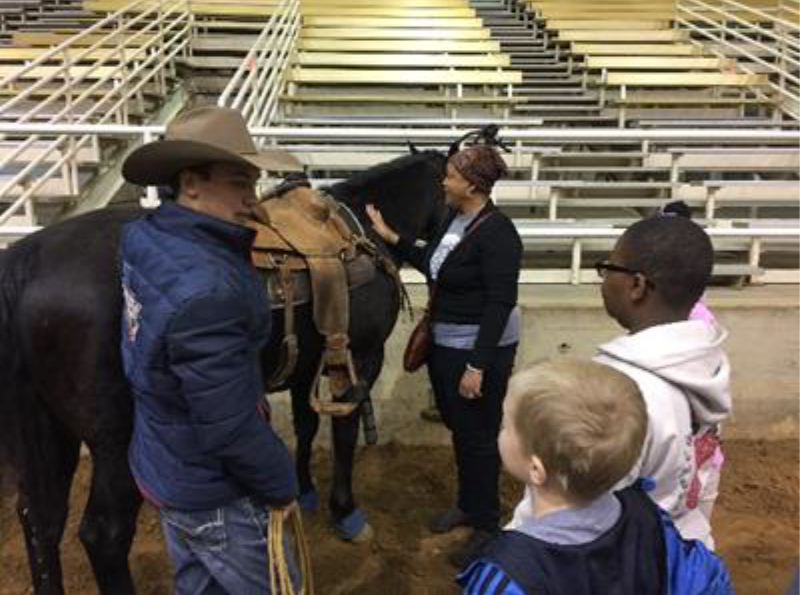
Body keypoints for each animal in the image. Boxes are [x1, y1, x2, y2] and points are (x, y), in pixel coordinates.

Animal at [0, 146, 450, 595]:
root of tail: (29, 260)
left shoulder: (306, 366)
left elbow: (306, 427)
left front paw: (304, 491)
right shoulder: (363, 358)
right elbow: (344, 434)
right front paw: (347, 512)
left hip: (48, 429)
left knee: (41, 519)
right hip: (115, 442)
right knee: (103, 533)